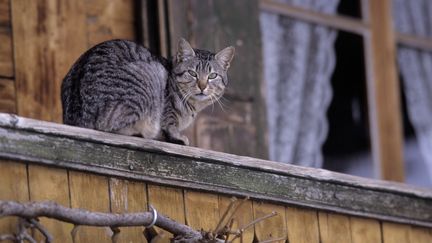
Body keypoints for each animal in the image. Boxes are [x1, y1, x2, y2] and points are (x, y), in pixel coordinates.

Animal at [60, 37, 235, 144]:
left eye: (212, 76)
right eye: (192, 73)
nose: (202, 86)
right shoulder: (167, 111)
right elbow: (170, 125)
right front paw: (177, 137)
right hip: (149, 77)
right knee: (112, 126)